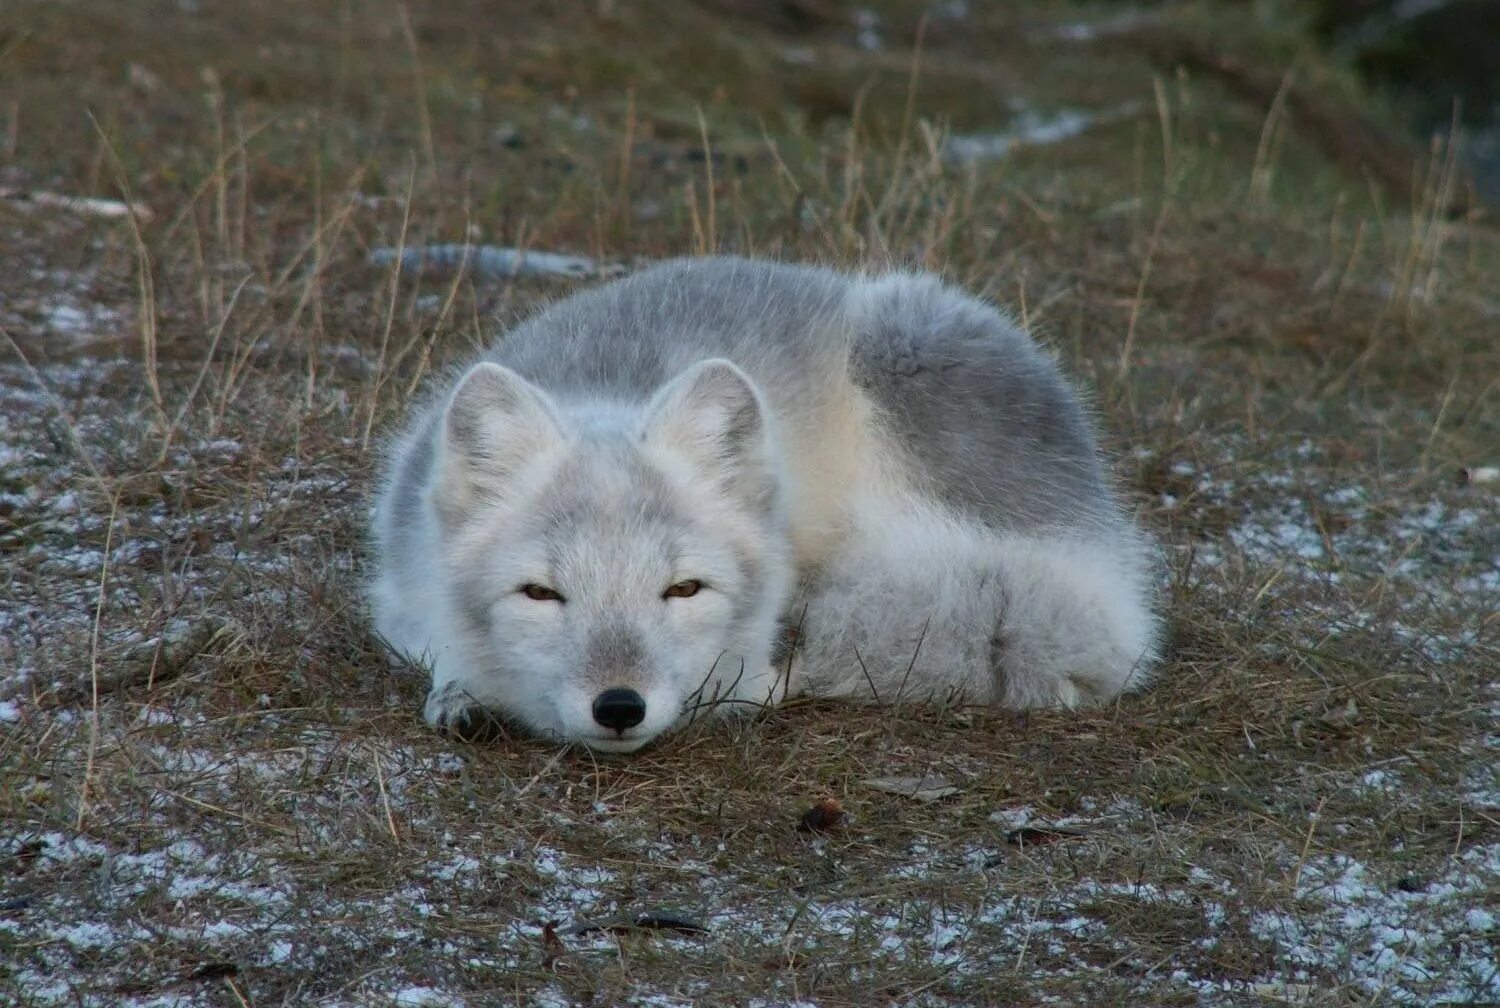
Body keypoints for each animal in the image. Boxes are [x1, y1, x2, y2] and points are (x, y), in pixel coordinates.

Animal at [366, 256, 1158, 753]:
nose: (619, 705)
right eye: (541, 594)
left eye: (683, 589)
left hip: (911, 351)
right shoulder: (401, 598)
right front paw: (461, 692)